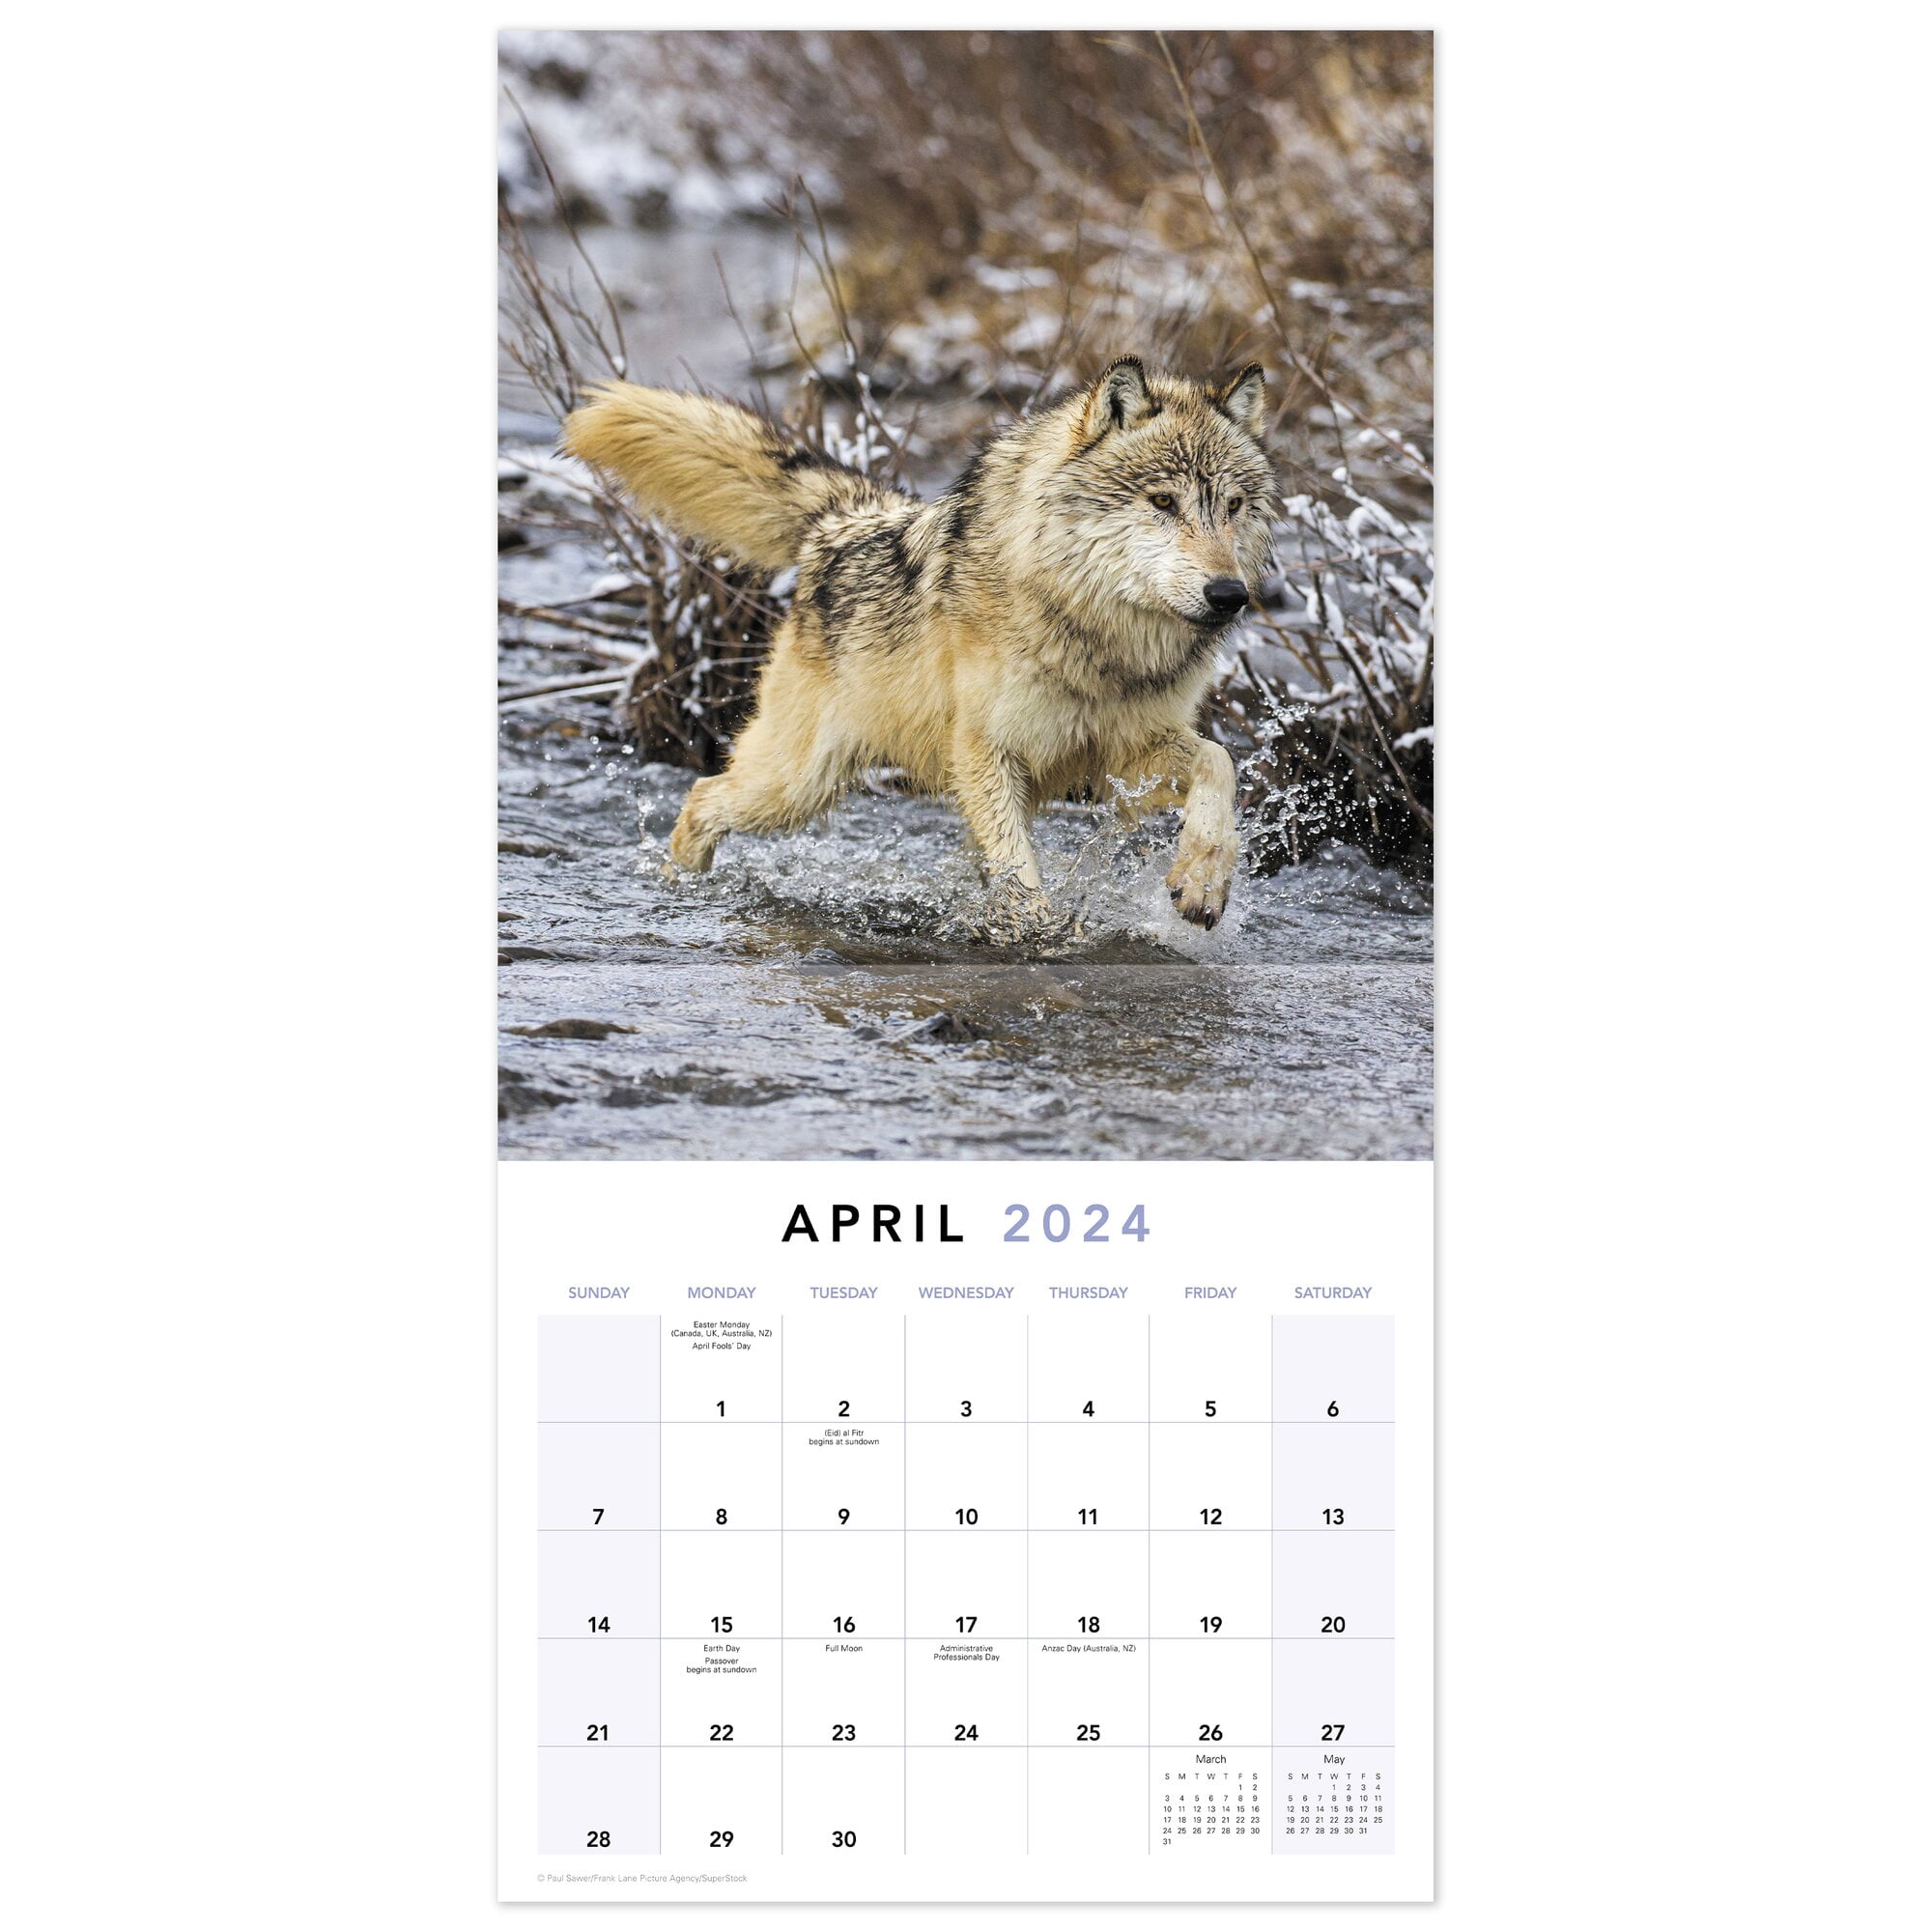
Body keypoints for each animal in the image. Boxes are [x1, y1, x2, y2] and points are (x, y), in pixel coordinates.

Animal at [562, 356, 1275, 929]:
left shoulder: (1120, 759)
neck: (1100, 642)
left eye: (1232, 506)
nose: (1228, 594)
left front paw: (1203, 883)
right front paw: (1038, 934)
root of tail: (841, 522)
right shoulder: (988, 751)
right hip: (797, 786)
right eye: (1163, 502)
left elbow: (1220, 763)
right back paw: (680, 885)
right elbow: (1018, 872)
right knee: (703, 795)